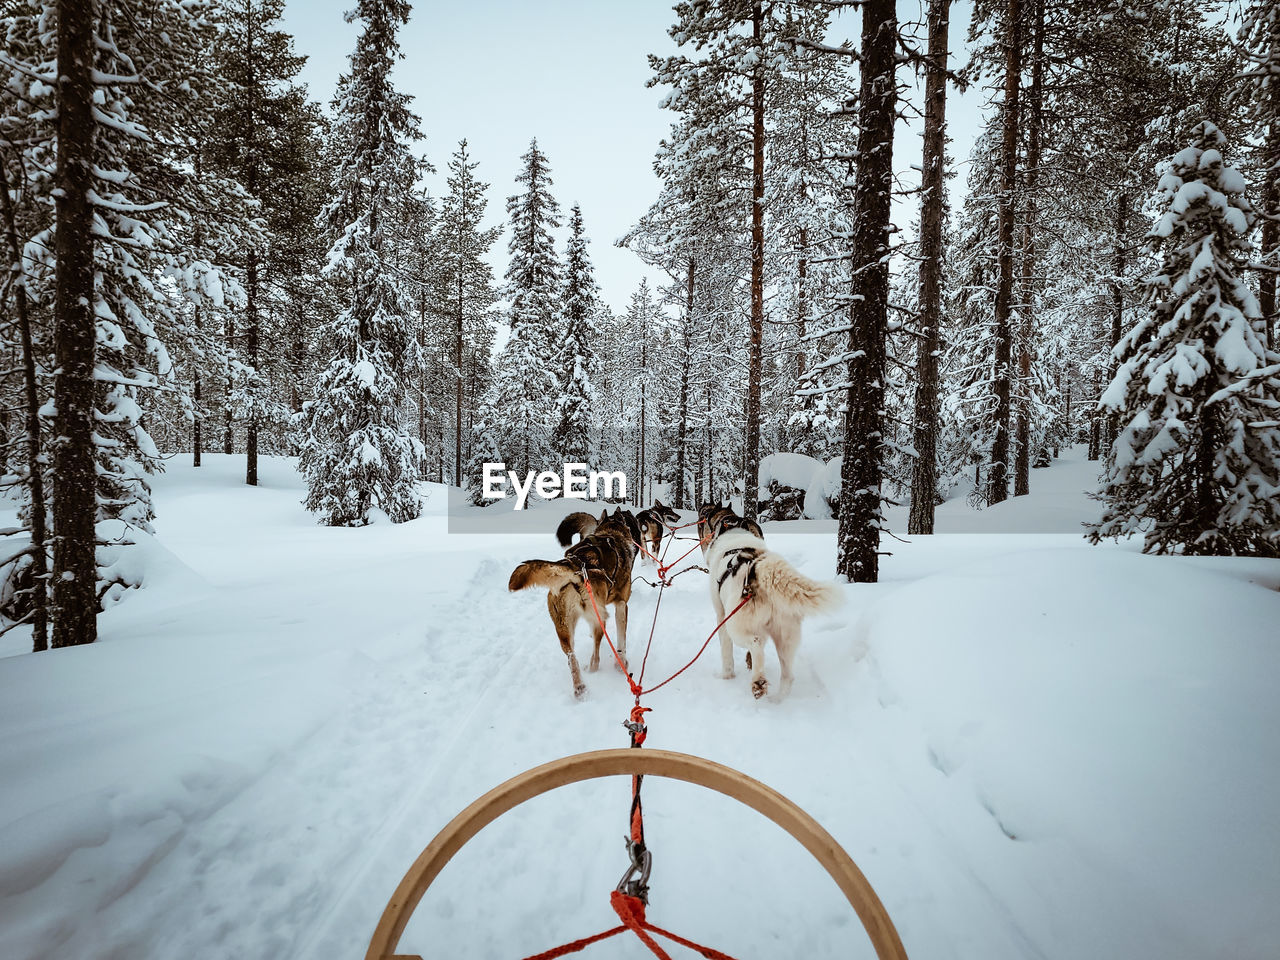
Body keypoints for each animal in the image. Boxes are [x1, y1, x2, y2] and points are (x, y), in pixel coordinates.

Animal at [504, 506, 634, 701]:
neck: (611, 533)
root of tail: (575, 569)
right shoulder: (621, 605)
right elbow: (622, 640)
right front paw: (621, 664)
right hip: (599, 619)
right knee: (595, 654)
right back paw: (591, 669)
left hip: (563, 628)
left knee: (572, 657)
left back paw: (579, 687)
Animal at [711, 529, 839, 701]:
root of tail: (762, 567)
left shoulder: (721, 617)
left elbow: (727, 654)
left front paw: (726, 676)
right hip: (785, 638)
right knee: (788, 676)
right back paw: (777, 699)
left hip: (735, 625)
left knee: (756, 644)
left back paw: (758, 681)